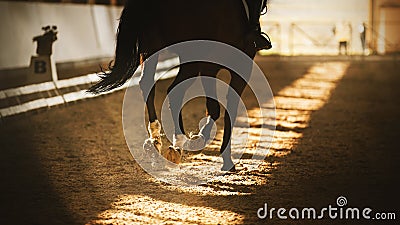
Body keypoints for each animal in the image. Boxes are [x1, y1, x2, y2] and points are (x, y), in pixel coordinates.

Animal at [88, 0, 258, 171]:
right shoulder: (238, 65)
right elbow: (227, 107)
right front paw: (224, 157)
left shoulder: (211, 65)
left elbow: (215, 107)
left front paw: (201, 139)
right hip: (190, 55)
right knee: (175, 90)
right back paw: (178, 143)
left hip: (152, 48)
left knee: (147, 84)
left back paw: (156, 141)